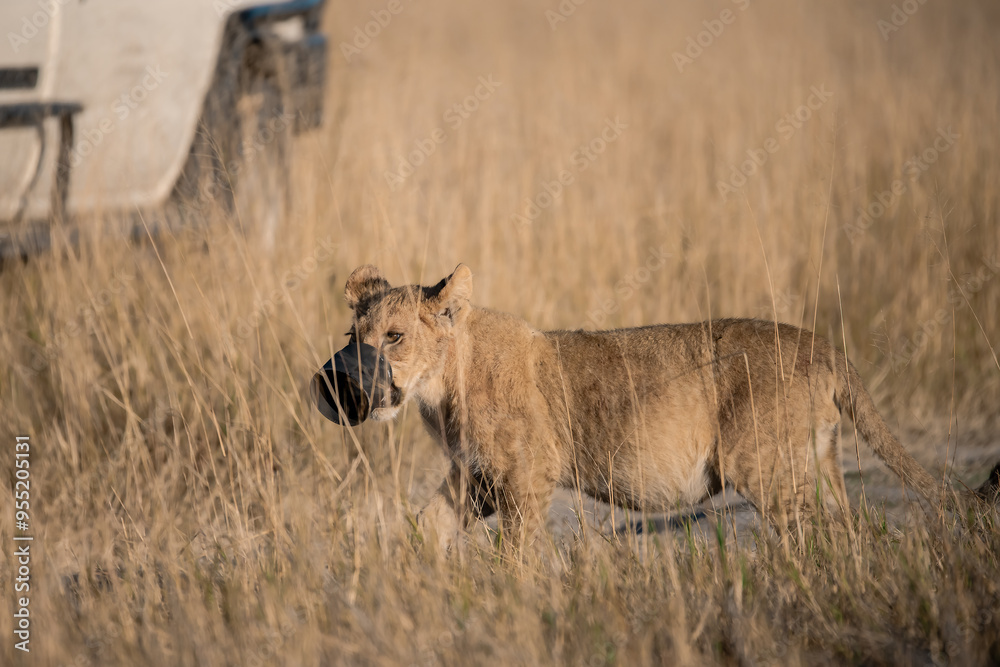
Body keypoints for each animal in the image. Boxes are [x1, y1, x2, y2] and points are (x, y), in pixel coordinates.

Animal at [333, 263, 998, 549]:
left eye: (394, 336)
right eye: (353, 336)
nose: (353, 381)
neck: (442, 388)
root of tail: (823, 344)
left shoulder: (527, 474)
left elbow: (517, 553)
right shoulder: (474, 475)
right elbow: (428, 524)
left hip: (763, 463)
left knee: (812, 531)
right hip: (819, 457)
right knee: (848, 525)